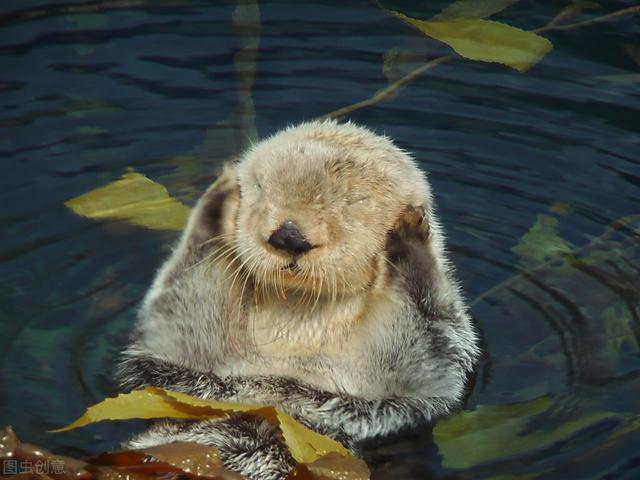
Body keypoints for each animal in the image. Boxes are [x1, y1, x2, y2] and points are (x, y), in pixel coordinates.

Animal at [117, 119, 480, 476]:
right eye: (260, 187)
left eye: (353, 201)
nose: (289, 236)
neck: (298, 315)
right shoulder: (177, 368)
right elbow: (180, 319)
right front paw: (218, 202)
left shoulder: (416, 388)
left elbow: (425, 350)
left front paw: (409, 236)